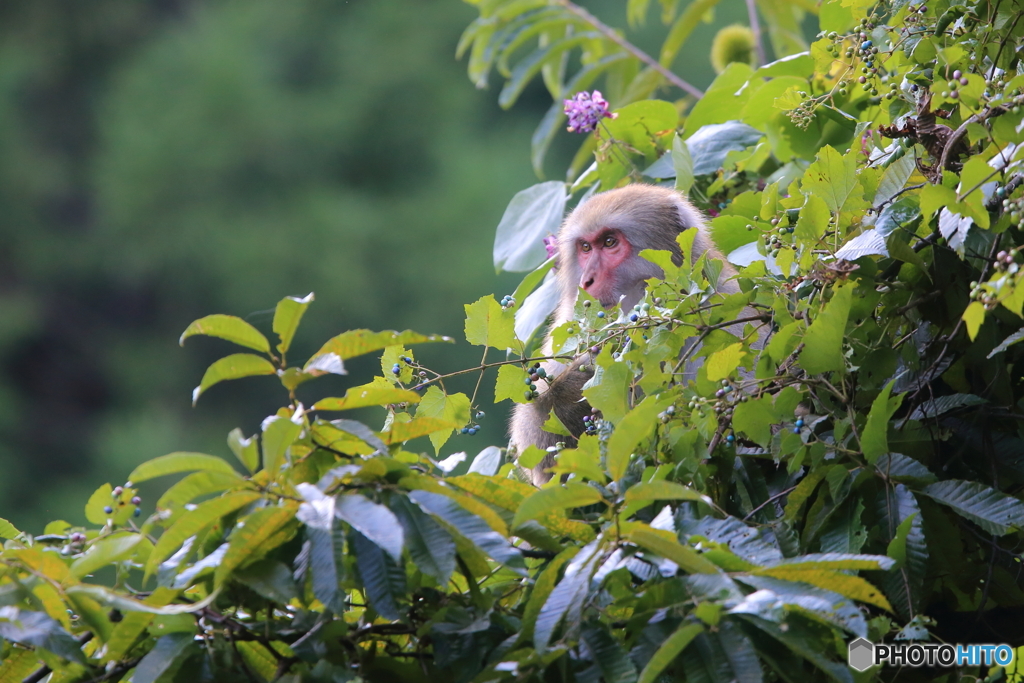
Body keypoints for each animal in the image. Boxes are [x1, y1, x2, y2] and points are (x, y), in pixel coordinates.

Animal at [512, 184, 761, 489]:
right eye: (585, 247)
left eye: (609, 242)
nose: (586, 282)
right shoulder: (570, 327)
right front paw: (573, 386)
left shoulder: (727, 315)